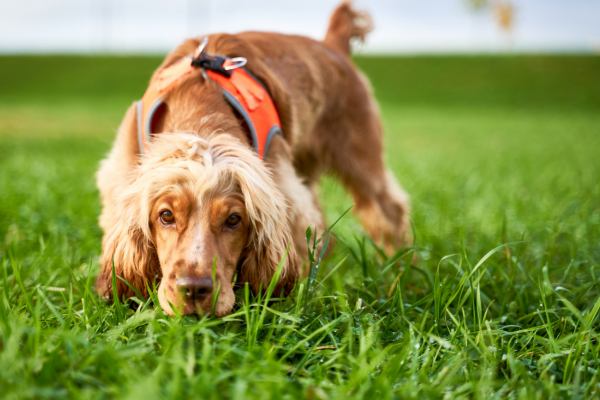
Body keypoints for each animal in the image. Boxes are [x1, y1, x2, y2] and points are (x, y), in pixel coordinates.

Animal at [95, 2, 412, 316]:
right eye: (166, 216)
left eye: (234, 219)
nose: (194, 289)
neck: (201, 106)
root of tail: (331, 44)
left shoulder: (285, 192)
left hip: (360, 155)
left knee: (389, 212)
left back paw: (401, 275)